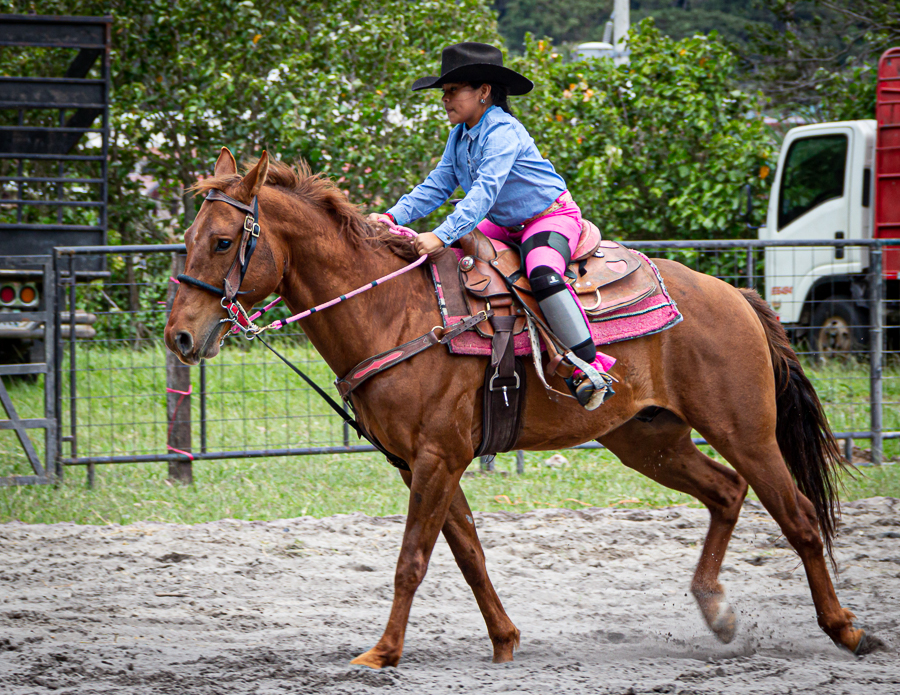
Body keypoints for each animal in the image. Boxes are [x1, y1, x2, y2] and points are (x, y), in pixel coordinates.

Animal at [162, 148, 880, 668]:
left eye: (223, 241)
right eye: (190, 237)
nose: (181, 337)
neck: (395, 311)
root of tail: (734, 294)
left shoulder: (437, 457)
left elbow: (413, 559)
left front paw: (382, 653)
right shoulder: (421, 462)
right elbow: (468, 554)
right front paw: (504, 640)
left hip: (744, 430)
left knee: (799, 517)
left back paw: (847, 631)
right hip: (649, 439)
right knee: (727, 493)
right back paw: (717, 611)